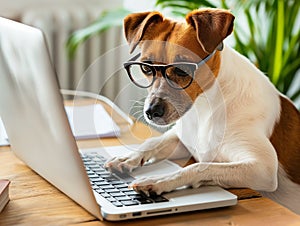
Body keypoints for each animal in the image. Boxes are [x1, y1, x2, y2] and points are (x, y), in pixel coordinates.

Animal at [105, 8, 300, 214]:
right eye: (145, 67)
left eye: (182, 70)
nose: (152, 112)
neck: (206, 106)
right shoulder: (183, 142)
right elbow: (152, 142)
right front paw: (127, 158)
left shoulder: (262, 168)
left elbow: (199, 166)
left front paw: (158, 181)